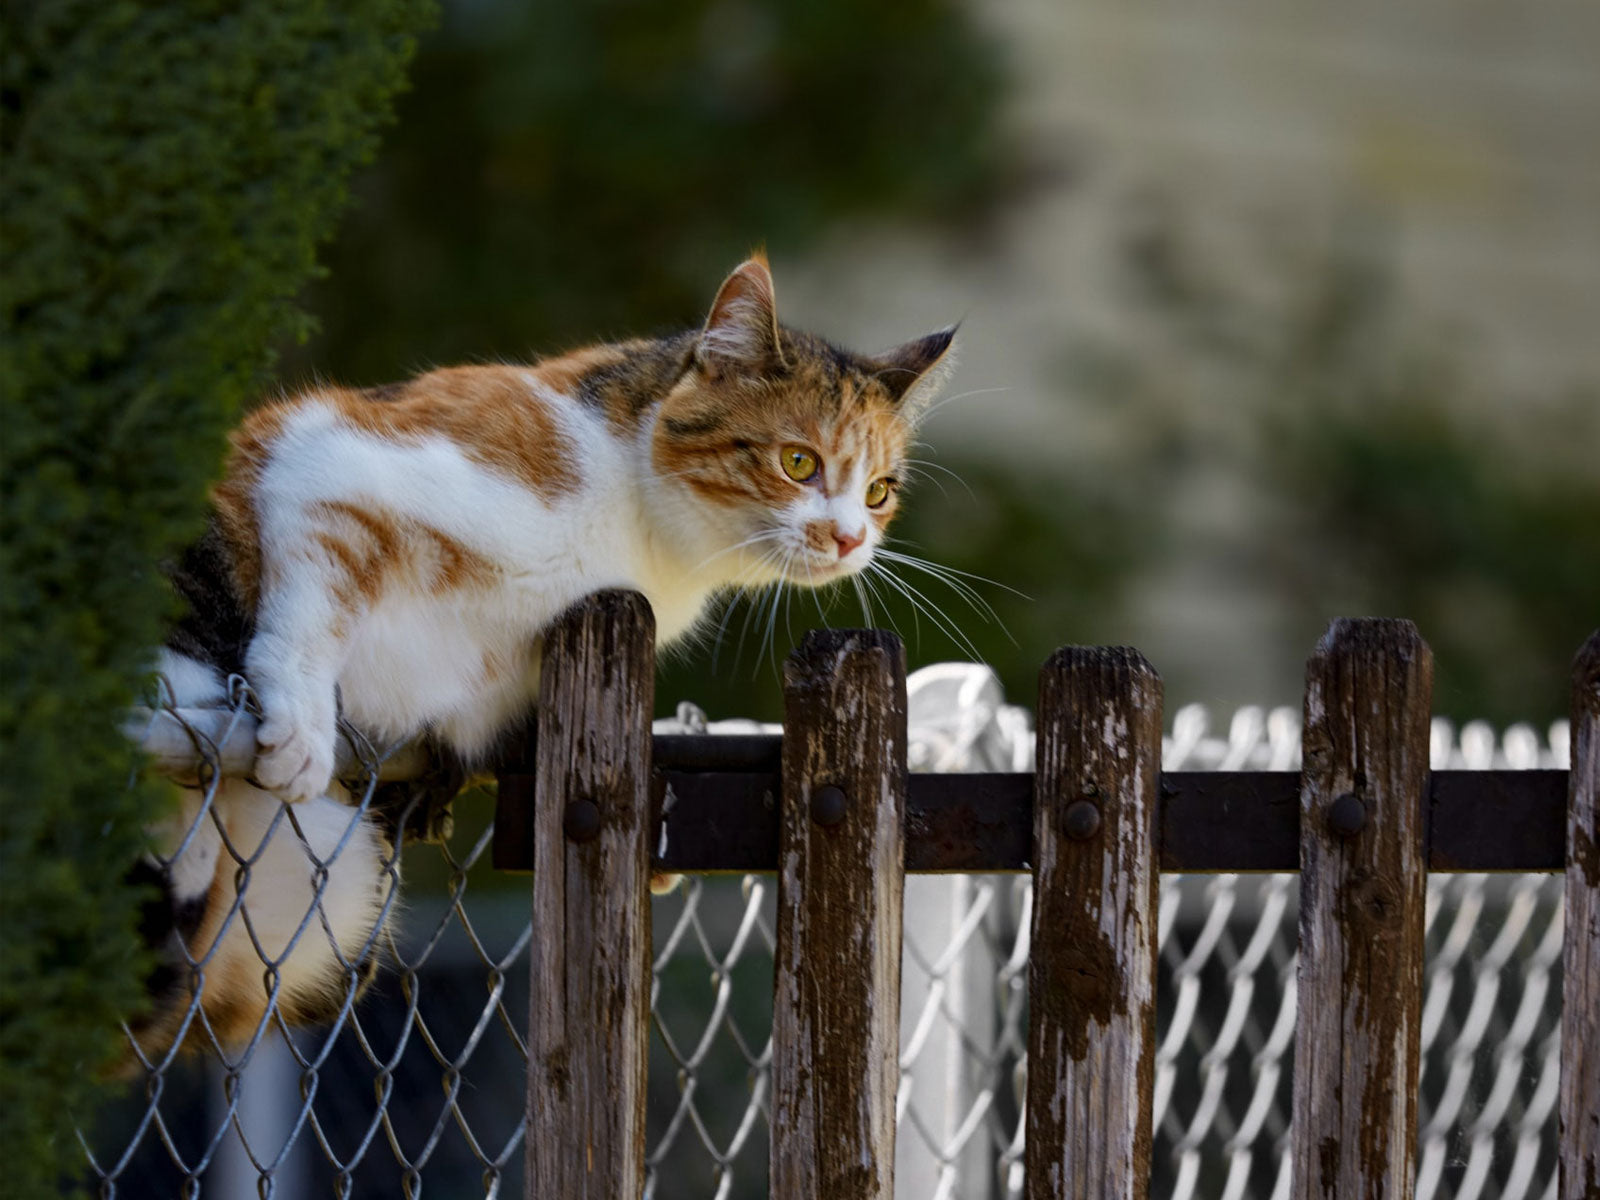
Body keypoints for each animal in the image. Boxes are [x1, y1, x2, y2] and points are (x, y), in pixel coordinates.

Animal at [137, 256, 947, 1062]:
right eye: (798, 461)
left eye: (879, 491)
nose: (850, 538)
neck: (634, 510)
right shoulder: (331, 464)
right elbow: (313, 600)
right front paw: (303, 733)